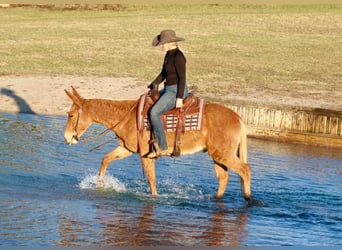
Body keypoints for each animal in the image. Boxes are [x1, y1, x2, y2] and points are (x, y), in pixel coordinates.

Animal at [63, 86, 251, 201]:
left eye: (71, 115)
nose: (66, 137)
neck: (126, 116)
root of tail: (238, 117)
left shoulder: (146, 155)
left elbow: (151, 179)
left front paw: (154, 197)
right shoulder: (127, 149)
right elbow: (105, 160)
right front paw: (100, 185)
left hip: (223, 154)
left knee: (244, 170)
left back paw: (248, 198)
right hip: (218, 156)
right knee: (223, 177)